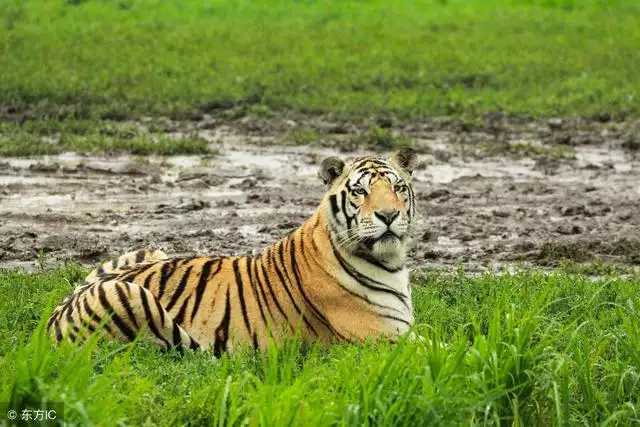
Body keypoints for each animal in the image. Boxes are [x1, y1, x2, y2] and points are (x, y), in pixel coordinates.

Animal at [48, 149, 420, 356]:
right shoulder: (385, 339)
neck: (391, 263)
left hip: (147, 251)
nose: (389, 215)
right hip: (129, 295)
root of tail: (51, 323)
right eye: (360, 191)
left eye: (398, 187)